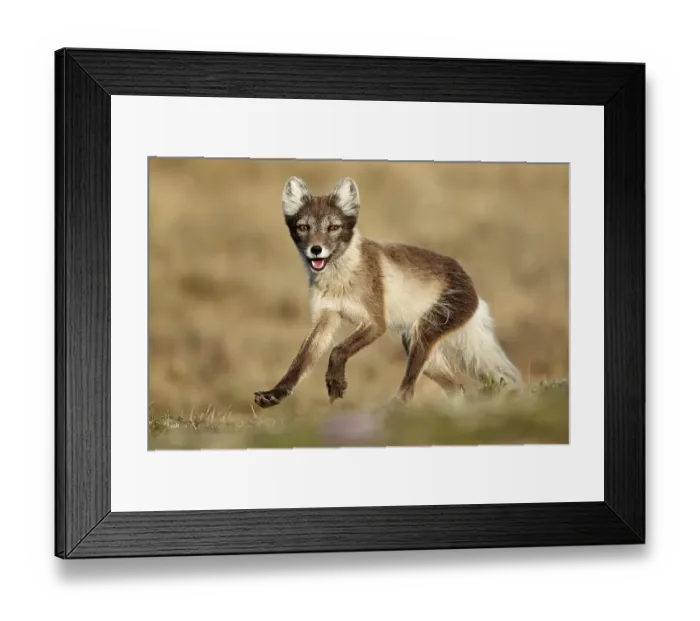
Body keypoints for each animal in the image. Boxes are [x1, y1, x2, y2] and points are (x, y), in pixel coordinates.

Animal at [253, 176, 522, 409]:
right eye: (303, 227)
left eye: (333, 227)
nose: (316, 250)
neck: (340, 278)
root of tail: (471, 283)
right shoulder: (326, 317)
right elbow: (300, 362)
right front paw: (275, 394)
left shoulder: (376, 322)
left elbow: (338, 350)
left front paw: (336, 383)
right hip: (419, 348)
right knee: (458, 388)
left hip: (424, 335)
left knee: (410, 388)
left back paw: (391, 410)